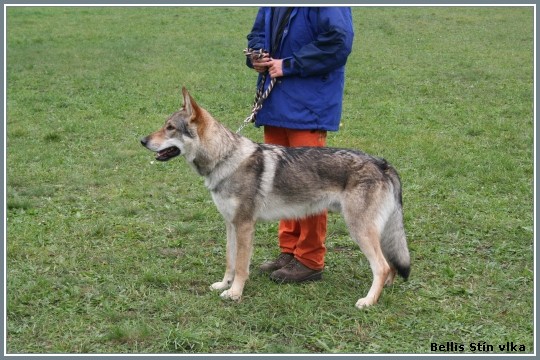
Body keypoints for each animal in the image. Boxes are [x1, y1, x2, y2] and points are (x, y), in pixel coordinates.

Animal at [141, 88, 412, 310]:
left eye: (170, 128)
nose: (142, 140)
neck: (224, 158)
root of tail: (382, 163)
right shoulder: (230, 224)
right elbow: (230, 261)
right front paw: (223, 284)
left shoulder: (245, 226)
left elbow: (241, 266)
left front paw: (235, 293)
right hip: (373, 230)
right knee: (390, 264)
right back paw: (384, 291)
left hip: (359, 230)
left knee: (382, 266)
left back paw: (368, 301)